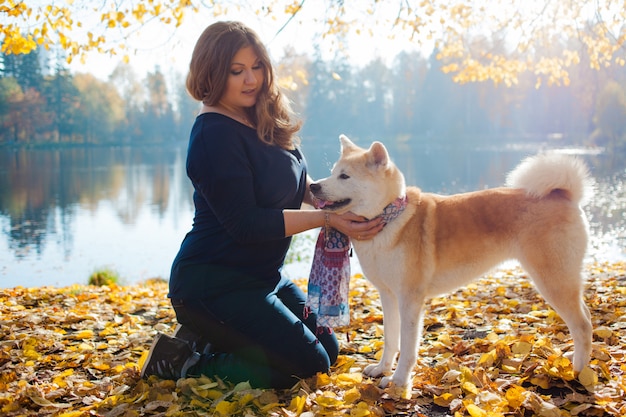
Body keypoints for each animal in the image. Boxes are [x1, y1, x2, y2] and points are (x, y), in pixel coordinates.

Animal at [310, 133, 592, 396]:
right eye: (333, 173)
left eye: (344, 176)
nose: (313, 186)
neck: (390, 219)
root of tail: (563, 195)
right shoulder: (388, 295)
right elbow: (390, 339)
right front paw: (382, 369)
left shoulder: (410, 300)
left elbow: (408, 347)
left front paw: (399, 382)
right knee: (586, 318)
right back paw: (577, 362)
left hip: (553, 280)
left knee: (582, 326)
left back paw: (577, 373)